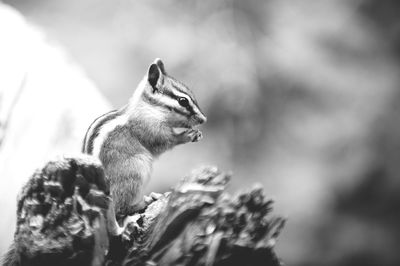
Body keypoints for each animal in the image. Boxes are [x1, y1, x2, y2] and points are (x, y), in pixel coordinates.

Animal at [81, 58, 206, 220]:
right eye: (183, 101)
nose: (204, 119)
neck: (149, 109)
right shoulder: (150, 129)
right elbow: (165, 142)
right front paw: (187, 135)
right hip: (135, 170)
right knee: (120, 208)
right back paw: (143, 202)